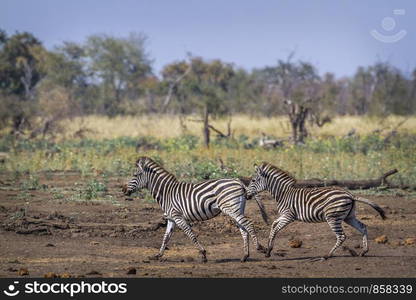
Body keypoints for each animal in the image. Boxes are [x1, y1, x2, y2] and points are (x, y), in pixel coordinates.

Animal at [121, 157, 266, 262]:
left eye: (135, 175)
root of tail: (238, 181)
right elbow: (166, 237)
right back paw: (245, 256)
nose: (123, 190)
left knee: (248, 224)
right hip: (236, 209)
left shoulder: (178, 217)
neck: (166, 192)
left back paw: (260, 247)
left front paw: (203, 254)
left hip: (231, 208)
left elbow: (191, 234)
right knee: (243, 229)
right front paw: (157, 255)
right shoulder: (171, 218)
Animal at [247, 162, 386, 260]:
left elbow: (275, 229)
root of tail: (350, 194)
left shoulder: (289, 216)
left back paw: (327, 255)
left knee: (341, 236)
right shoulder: (284, 215)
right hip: (349, 217)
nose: (246, 195)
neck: (283, 193)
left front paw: (268, 250)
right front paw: (268, 251)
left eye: (253, 180)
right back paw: (363, 251)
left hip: (333, 217)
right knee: (363, 227)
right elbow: (273, 225)